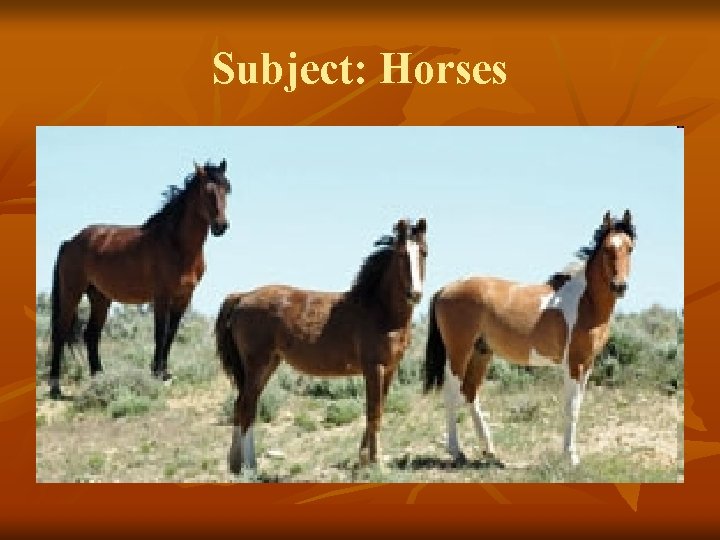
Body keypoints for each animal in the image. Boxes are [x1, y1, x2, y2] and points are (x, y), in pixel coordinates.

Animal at [48, 160, 232, 399]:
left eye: (227, 189)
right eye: (207, 191)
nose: (222, 226)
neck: (176, 245)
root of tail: (70, 241)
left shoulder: (184, 297)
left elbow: (171, 333)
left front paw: (165, 373)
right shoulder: (162, 296)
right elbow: (160, 333)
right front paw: (157, 373)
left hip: (100, 298)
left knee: (91, 335)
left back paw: (99, 378)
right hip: (72, 292)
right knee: (60, 332)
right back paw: (55, 387)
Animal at [215, 218, 427, 474]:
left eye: (424, 252)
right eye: (401, 254)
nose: (415, 294)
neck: (379, 310)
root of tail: (242, 297)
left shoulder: (389, 369)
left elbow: (378, 410)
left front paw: (363, 459)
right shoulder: (373, 368)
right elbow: (373, 412)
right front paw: (374, 462)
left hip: (267, 365)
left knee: (243, 406)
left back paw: (237, 465)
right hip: (257, 364)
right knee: (246, 407)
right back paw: (250, 467)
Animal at [424, 210, 636, 466]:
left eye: (630, 248)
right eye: (607, 248)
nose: (620, 286)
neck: (586, 302)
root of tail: (445, 289)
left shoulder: (587, 364)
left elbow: (576, 407)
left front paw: (571, 454)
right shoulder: (574, 364)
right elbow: (570, 407)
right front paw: (570, 457)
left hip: (480, 353)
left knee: (470, 392)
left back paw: (489, 450)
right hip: (459, 352)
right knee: (452, 393)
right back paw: (457, 452)